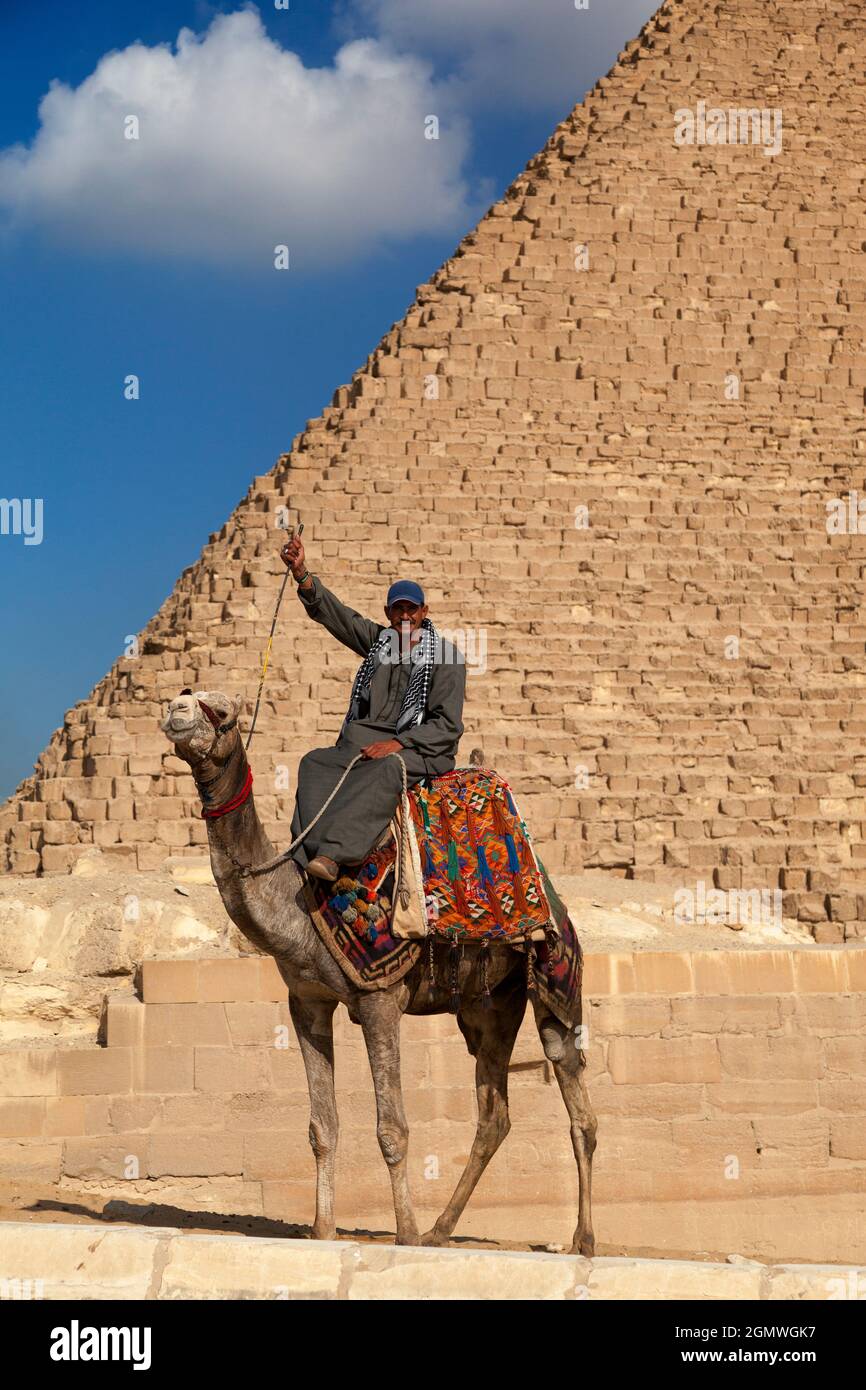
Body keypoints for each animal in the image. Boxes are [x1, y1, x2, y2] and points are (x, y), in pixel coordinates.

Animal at [161, 683, 594, 1251]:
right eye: (187, 693)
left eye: (223, 711)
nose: (175, 709)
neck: (299, 905)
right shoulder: (308, 1003)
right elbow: (322, 1127)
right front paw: (322, 1231)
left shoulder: (379, 998)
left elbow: (393, 1128)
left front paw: (404, 1232)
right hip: (488, 1006)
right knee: (494, 1115)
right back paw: (441, 1230)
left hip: (554, 977)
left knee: (574, 1098)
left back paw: (580, 1240)